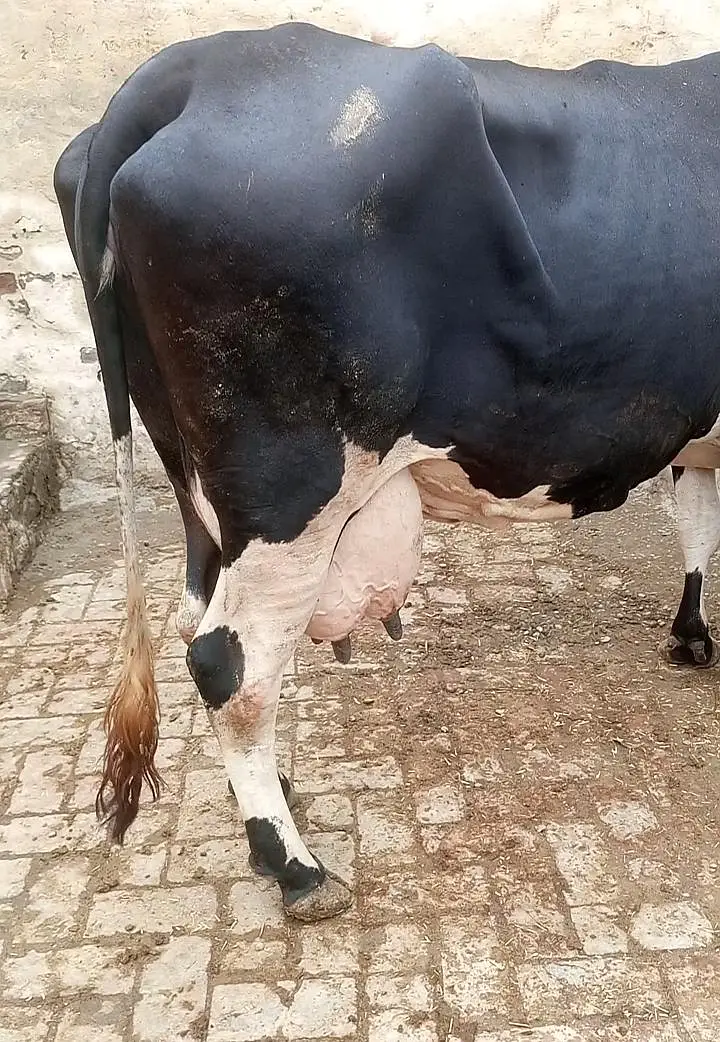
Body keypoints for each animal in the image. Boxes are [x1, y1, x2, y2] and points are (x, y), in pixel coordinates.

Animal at [54, 23, 720, 921]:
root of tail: (190, 70)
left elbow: (698, 519)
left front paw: (690, 635)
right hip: (288, 481)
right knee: (229, 663)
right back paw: (294, 865)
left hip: (195, 476)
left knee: (208, 619)